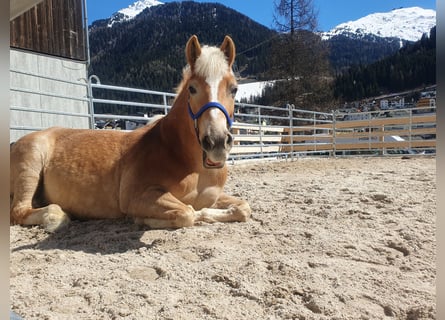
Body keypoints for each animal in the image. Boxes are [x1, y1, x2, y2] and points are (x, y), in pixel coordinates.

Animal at [10, 35, 251, 231]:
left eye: (234, 88)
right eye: (192, 88)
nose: (217, 142)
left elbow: (243, 207)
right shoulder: (137, 196)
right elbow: (187, 212)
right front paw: (142, 220)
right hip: (31, 165)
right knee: (19, 211)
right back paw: (55, 216)